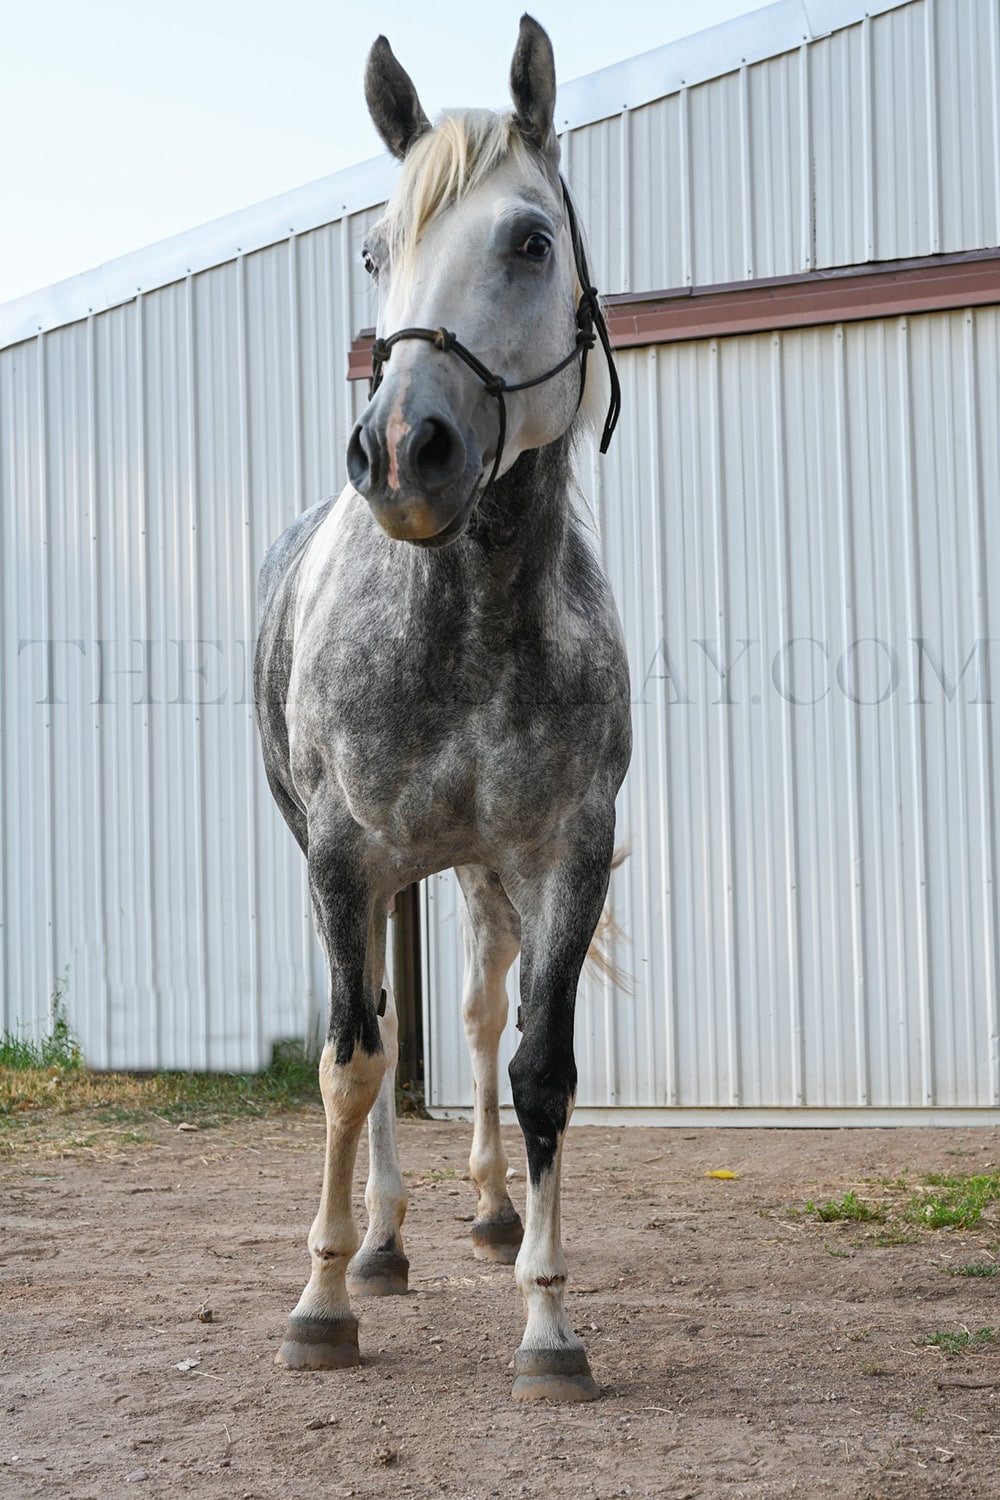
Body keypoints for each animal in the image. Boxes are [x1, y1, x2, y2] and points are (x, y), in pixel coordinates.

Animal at [254, 14, 631, 1403]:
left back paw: (486, 1210)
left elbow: (538, 1068)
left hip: (473, 871)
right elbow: (354, 1058)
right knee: (371, 1031)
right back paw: (378, 1243)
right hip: (363, 873)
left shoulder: (565, 854)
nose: (401, 453)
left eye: (529, 242)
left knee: (467, 1017)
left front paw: (549, 1321)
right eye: (375, 250)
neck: (465, 627)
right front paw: (321, 1300)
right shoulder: (345, 857)